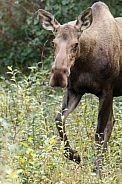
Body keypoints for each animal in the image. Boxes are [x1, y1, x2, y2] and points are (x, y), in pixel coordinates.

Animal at [38, 1, 122, 172]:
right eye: (53, 43)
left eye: (76, 44)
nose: (59, 75)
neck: (85, 63)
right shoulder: (74, 90)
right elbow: (59, 120)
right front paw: (74, 156)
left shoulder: (106, 91)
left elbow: (98, 133)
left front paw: (97, 171)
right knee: (112, 121)